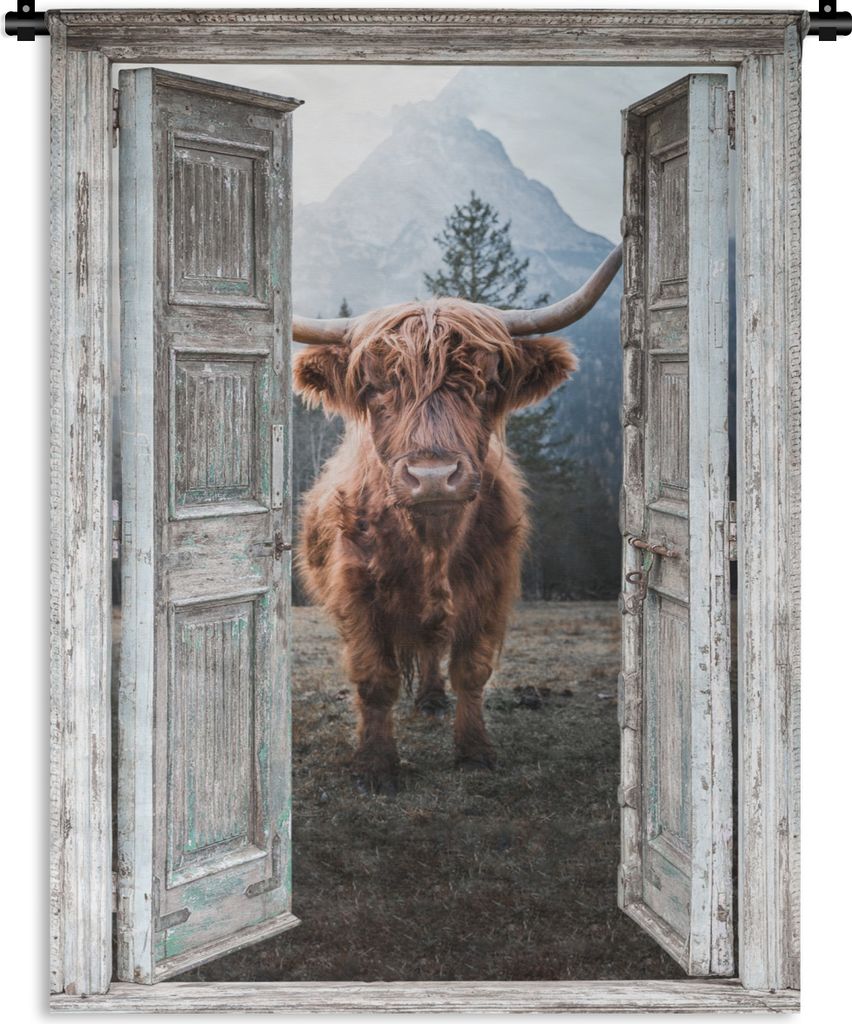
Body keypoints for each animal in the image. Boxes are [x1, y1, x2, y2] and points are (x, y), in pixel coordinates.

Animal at [291, 245, 622, 793]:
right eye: (375, 387)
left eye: (486, 384)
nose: (432, 476)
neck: (432, 543)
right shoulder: (356, 593)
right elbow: (375, 679)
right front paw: (376, 765)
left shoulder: (492, 588)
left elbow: (472, 670)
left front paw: (474, 751)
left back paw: (430, 699)